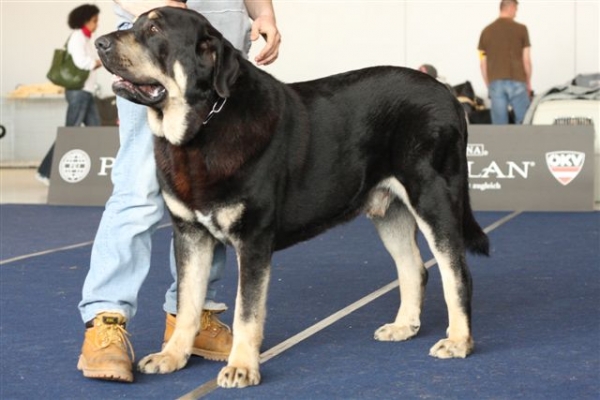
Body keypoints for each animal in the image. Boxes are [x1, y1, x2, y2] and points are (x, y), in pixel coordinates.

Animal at [94, 6, 488, 388]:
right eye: (134, 24)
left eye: (155, 30)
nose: (100, 43)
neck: (202, 126)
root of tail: (448, 95)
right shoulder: (190, 234)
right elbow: (188, 302)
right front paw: (173, 356)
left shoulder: (253, 238)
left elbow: (246, 311)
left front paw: (242, 368)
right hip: (390, 212)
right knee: (414, 269)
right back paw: (404, 326)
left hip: (433, 198)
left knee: (457, 272)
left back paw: (458, 341)